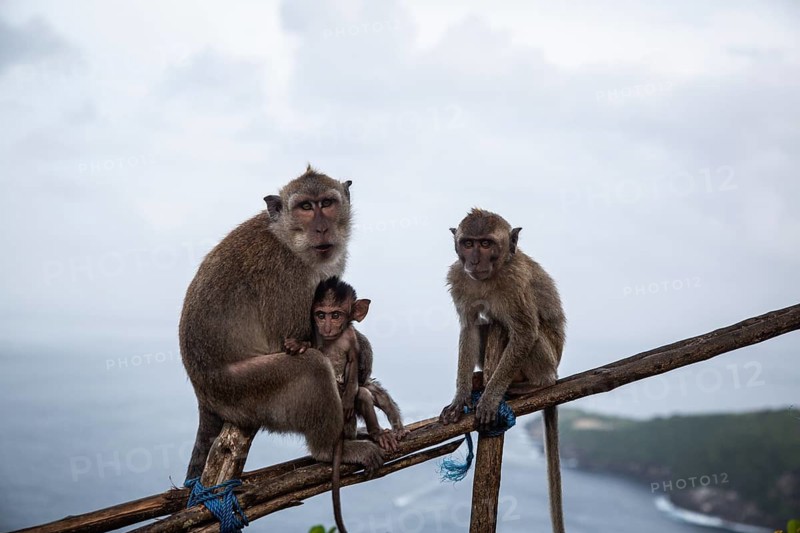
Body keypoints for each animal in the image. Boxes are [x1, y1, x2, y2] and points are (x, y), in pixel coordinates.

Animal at [180, 165, 384, 485]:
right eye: (305, 207)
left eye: (327, 203)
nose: (322, 228)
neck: (289, 240)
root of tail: (203, 396)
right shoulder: (285, 276)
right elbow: (294, 342)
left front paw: (362, 348)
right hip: (243, 393)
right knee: (312, 367)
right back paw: (329, 449)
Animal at [438, 208, 566, 533]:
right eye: (468, 243)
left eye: (486, 244)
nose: (474, 261)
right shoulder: (459, 278)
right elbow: (470, 328)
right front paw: (460, 399)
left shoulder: (514, 283)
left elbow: (524, 332)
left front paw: (489, 400)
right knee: (487, 324)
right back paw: (477, 379)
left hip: (549, 359)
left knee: (516, 329)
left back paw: (535, 384)